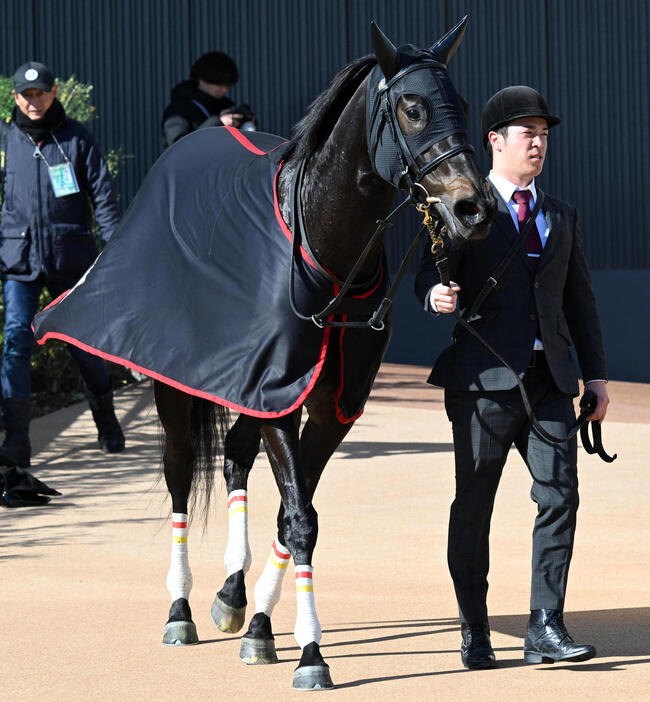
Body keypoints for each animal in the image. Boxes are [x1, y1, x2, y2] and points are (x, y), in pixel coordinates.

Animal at [33, 16, 494, 692]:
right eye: (412, 108)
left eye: (459, 103)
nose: (472, 209)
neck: (325, 258)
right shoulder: (282, 398)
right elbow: (300, 516)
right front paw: (311, 653)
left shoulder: (325, 403)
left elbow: (290, 513)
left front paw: (261, 626)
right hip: (178, 385)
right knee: (179, 471)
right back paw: (181, 609)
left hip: (244, 384)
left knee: (233, 459)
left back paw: (231, 595)